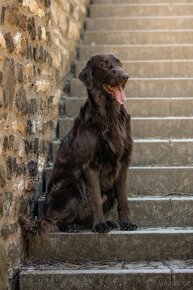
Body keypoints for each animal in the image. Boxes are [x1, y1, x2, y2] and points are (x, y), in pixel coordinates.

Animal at [21, 53, 137, 236]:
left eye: (120, 64)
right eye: (104, 65)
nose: (125, 76)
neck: (109, 114)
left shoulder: (124, 162)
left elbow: (123, 199)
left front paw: (126, 223)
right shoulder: (90, 165)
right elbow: (95, 199)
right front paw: (100, 225)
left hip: (108, 193)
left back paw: (107, 222)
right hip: (74, 187)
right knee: (53, 220)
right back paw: (71, 226)